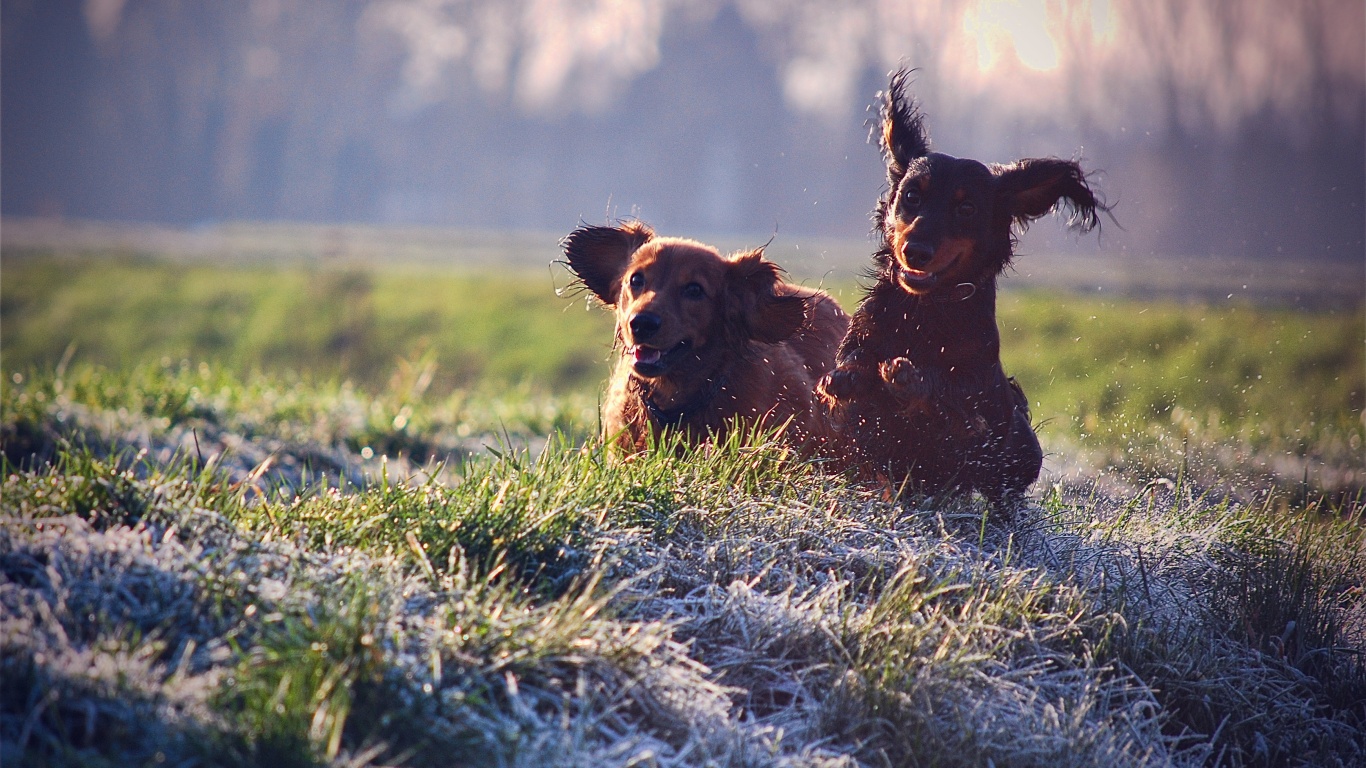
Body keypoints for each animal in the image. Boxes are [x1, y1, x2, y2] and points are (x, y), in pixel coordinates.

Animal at [814, 71, 1103, 500]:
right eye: (911, 196)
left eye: (966, 208)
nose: (915, 251)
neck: (925, 310)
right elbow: (853, 369)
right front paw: (849, 377)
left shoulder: (977, 409)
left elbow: (952, 400)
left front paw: (909, 377)